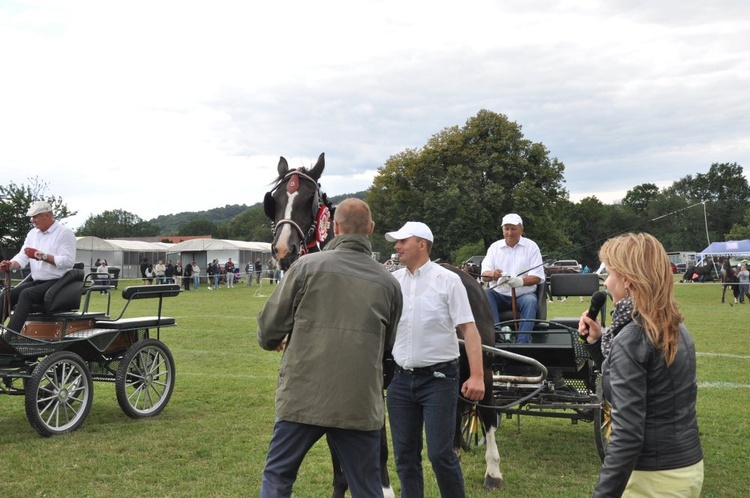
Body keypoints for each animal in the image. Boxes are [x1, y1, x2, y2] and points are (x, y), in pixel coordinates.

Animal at [264, 154, 506, 496]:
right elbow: (337, 456)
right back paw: (456, 448)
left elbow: (376, 448)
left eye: (309, 199)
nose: (284, 250)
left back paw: (493, 470)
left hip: (480, 363)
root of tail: (468, 276)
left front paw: (385, 488)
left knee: (487, 410)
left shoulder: (371, 388)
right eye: (277, 199)